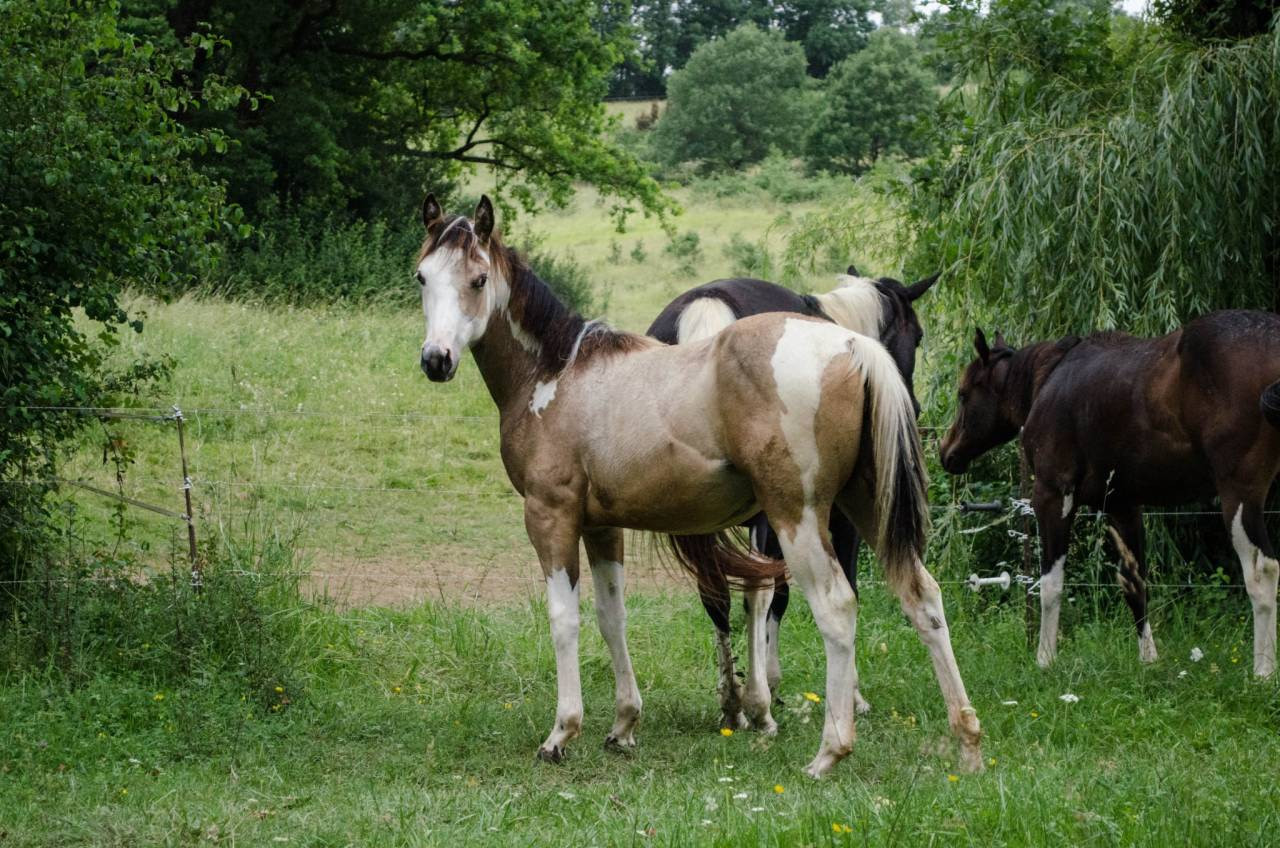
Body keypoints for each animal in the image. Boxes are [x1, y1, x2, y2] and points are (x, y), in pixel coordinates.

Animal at [646, 271, 939, 729]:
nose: (915, 405)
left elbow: (777, 598)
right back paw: (757, 707)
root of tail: (708, 301)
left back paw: (732, 703)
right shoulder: (837, 523)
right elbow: (827, 591)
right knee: (754, 592)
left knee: (716, 595)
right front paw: (848, 694)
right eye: (919, 336)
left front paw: (769, 679)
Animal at [939, 313, 1280, 676]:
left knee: (1262, 572)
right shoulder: (1122, 506)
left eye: (963, 395)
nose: (946, 453)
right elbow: (1135, 584)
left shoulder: (1052, 497)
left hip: (1240, 497)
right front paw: (1148, 659)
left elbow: (1050, 583)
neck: (1048, 380)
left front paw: (1045, 659)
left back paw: (1263, 672)